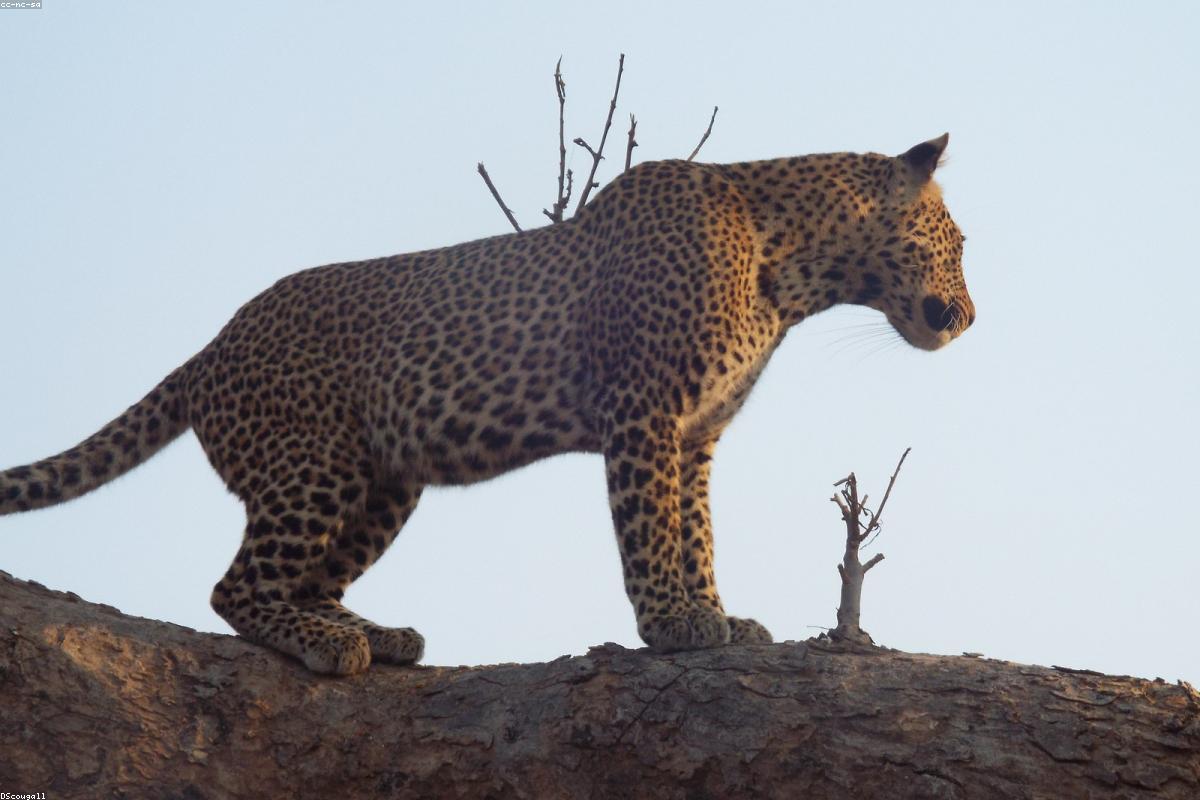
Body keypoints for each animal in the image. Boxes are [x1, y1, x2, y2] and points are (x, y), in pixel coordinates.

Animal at [0, 134, 974, 675]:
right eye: (958, 243)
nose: (969, 316)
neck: (795, 272)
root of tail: (208, 350)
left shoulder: (696, 434)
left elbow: (696, 530)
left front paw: (718, 615)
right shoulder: (644, 413)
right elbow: (650, 528)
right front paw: (671, 624)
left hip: (384, 483)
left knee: (307, 577)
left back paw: (376, 633)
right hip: (313, 464)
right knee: (235, 586)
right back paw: (326, 643)